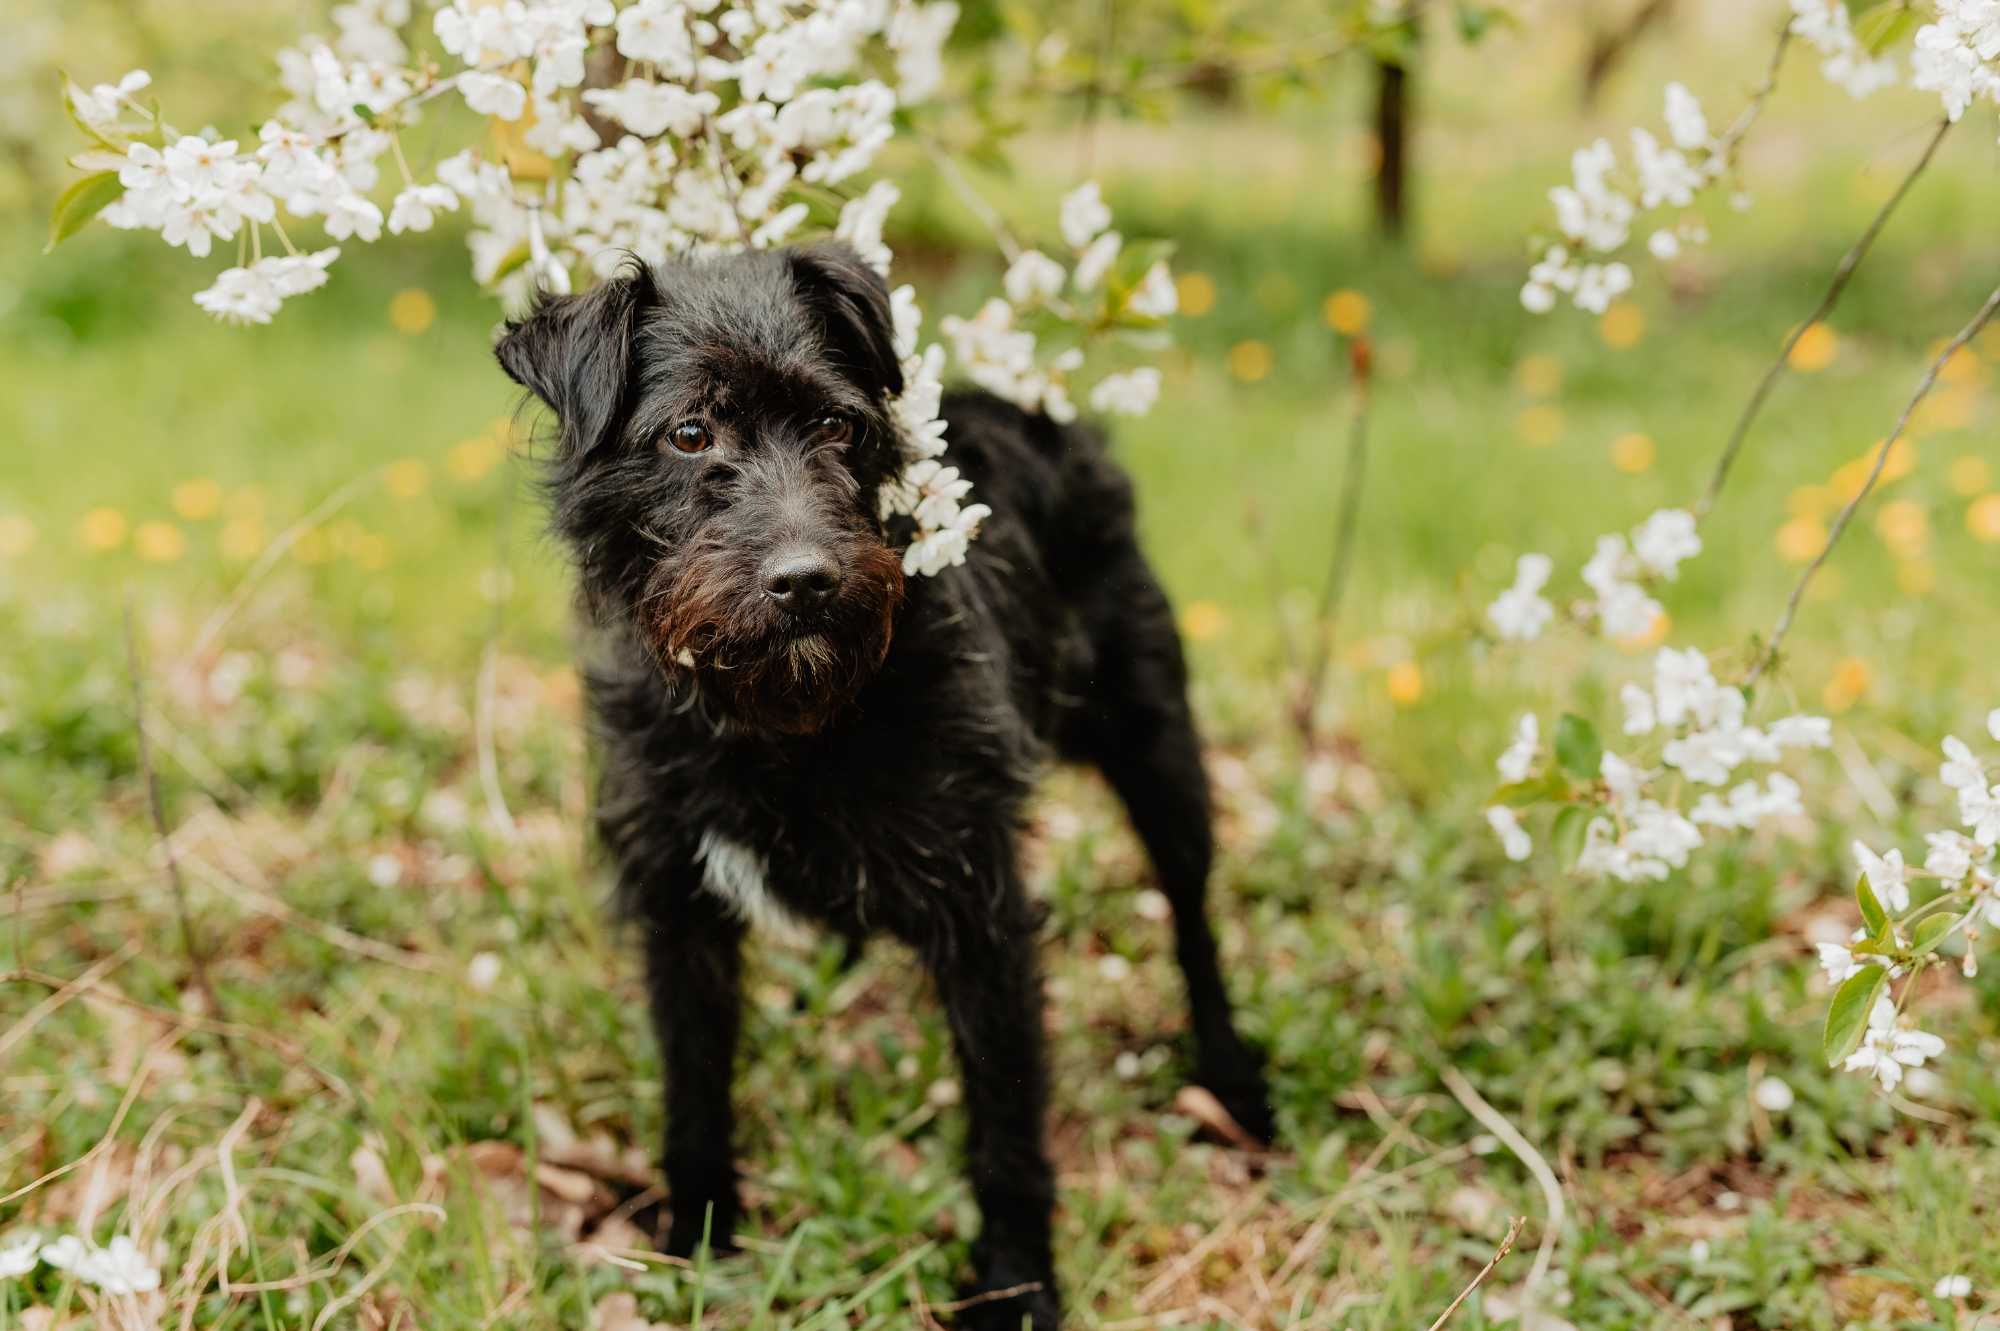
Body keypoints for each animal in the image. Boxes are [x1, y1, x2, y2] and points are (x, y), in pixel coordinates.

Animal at [500, 243, 1272, 1319]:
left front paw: (1017, 1280)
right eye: (690, 433)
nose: (806, 579)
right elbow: (693, 1089)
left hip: (1159, 748)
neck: (783, 720)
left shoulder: (982, 910)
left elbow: (1004, 1118)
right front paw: (698, 1244)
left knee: (1192, 916)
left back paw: (1232, 1080)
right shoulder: (678, 905)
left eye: (837, 425)